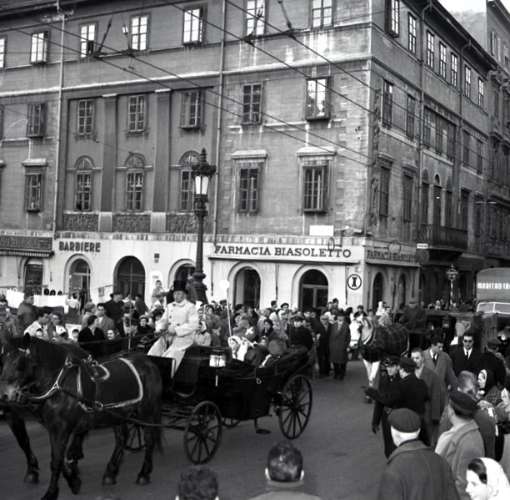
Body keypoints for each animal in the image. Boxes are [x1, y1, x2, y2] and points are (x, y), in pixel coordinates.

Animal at [0, 334, 162, 500]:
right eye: (3, 359)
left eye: (19, 362)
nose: (4, 395)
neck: (60, 384)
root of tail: (147, 361)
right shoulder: (54, 428)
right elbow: (60, 458)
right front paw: (74, 481)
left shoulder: (61, 429)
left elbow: (56, 460)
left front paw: (51, 492)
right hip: (118, 414)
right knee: (122, 438)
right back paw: (110, 473)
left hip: (146, 412)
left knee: (149, 439)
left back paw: (144, 474)